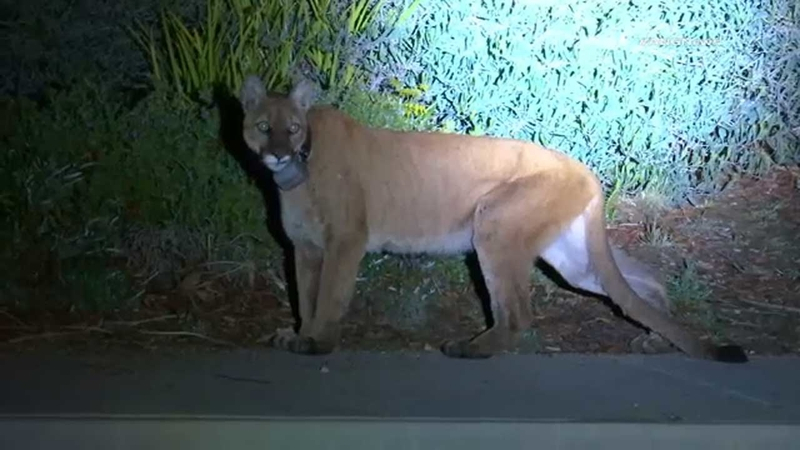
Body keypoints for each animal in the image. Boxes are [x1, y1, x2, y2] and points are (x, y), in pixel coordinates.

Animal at [238, 75, 747, 363]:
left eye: (293, 128)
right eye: (264, 127)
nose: (278, 152)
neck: (298, 172)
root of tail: (583, 168)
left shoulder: (345, 240)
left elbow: (329, 297)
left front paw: (318, 342)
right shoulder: (305, 248)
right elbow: (305, 297)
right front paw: (299, 334)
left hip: (495, 227)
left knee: (518, 314)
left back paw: (470, 348)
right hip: (570, 257)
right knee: (641, 283)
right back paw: (657, 340)